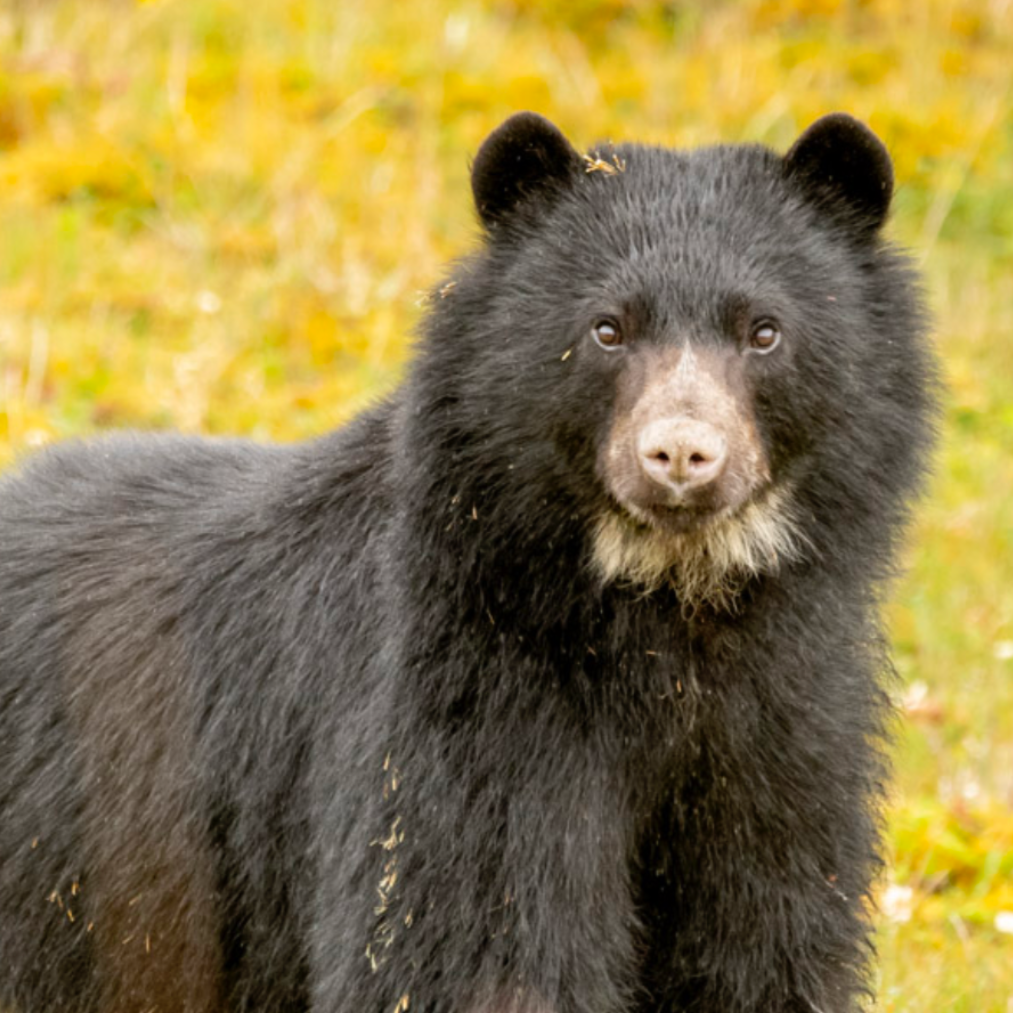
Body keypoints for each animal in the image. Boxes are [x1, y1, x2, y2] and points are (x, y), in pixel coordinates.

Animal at [0, 111, 937, 1013]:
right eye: (605, 329)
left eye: (763, 332)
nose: (680, 456)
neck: (667, 611)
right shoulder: (467, 707)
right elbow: (467, 940)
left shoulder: (781, 728)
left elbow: (762, 940)